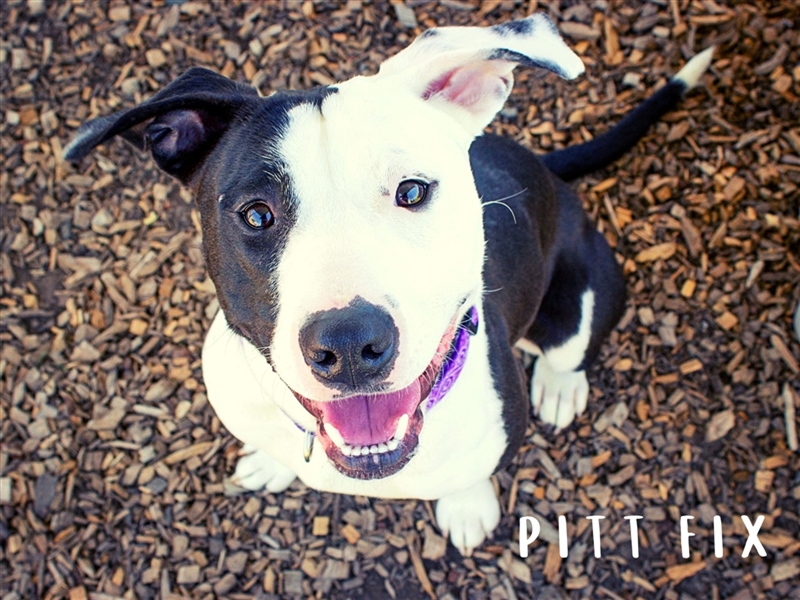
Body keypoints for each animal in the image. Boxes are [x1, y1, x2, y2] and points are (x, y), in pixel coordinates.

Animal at [64, 14, 712, 556]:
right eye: (256, 214)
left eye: (412, 191)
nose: (349, 344)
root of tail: (549, 171)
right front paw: (271, 464)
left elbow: (475, 473)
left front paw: (467, 506)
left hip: (583, 289)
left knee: (570, 345)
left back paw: (559, 385)